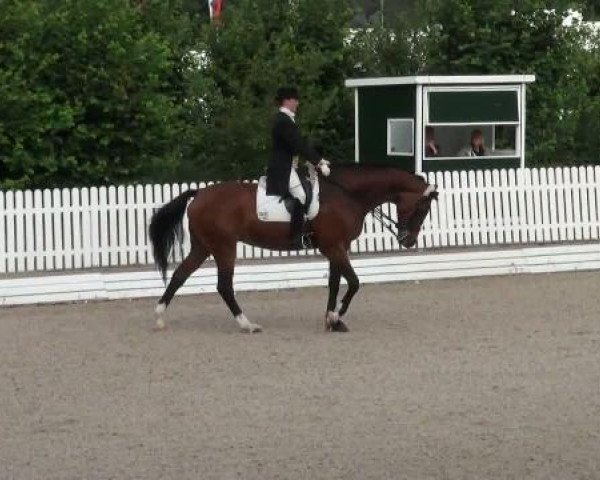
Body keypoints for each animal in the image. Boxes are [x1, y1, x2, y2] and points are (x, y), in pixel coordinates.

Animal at [148, 164, 438, 330]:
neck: (347, 194)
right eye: (422, 207)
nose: (408, 241)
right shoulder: (334, 247)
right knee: (224, 286)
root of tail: (198, 193)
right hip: (224, 247)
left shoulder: (337, 246)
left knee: (179, 275)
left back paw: (160, 317)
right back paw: (246, 324)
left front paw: (331, 320)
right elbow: (354, 283)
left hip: (203, 246)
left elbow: (334, 283)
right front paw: (337, 316)